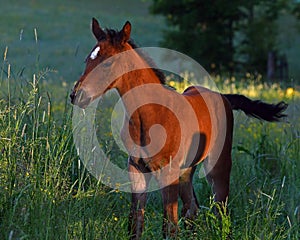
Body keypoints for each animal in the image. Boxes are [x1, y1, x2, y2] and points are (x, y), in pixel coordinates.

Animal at [69, 18, 288, 238]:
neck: (150, 115)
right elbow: (136, 222)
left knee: (221, 210)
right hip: (186, 170)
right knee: (192, 208)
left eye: (108, 63)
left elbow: (169, 226)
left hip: (217, 165)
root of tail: (223, 97)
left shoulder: (168, 172)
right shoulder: (137, 169)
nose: (76, 95)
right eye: (88, 60)